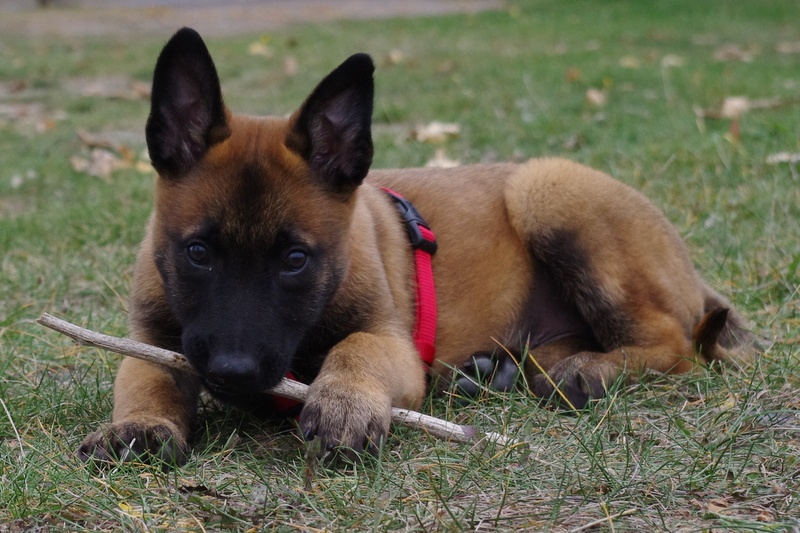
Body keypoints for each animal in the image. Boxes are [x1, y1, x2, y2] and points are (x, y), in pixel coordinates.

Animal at [79, 27, 756, 464]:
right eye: (197, 253)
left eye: (296, 261)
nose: (233, 371)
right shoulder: (155, 340)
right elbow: (146, 379)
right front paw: (137, 425)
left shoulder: (392, 344)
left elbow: (355, 349)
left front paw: (344, 401)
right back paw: (494, 372)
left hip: (547, 189)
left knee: (672, 345)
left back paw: (587, 371)